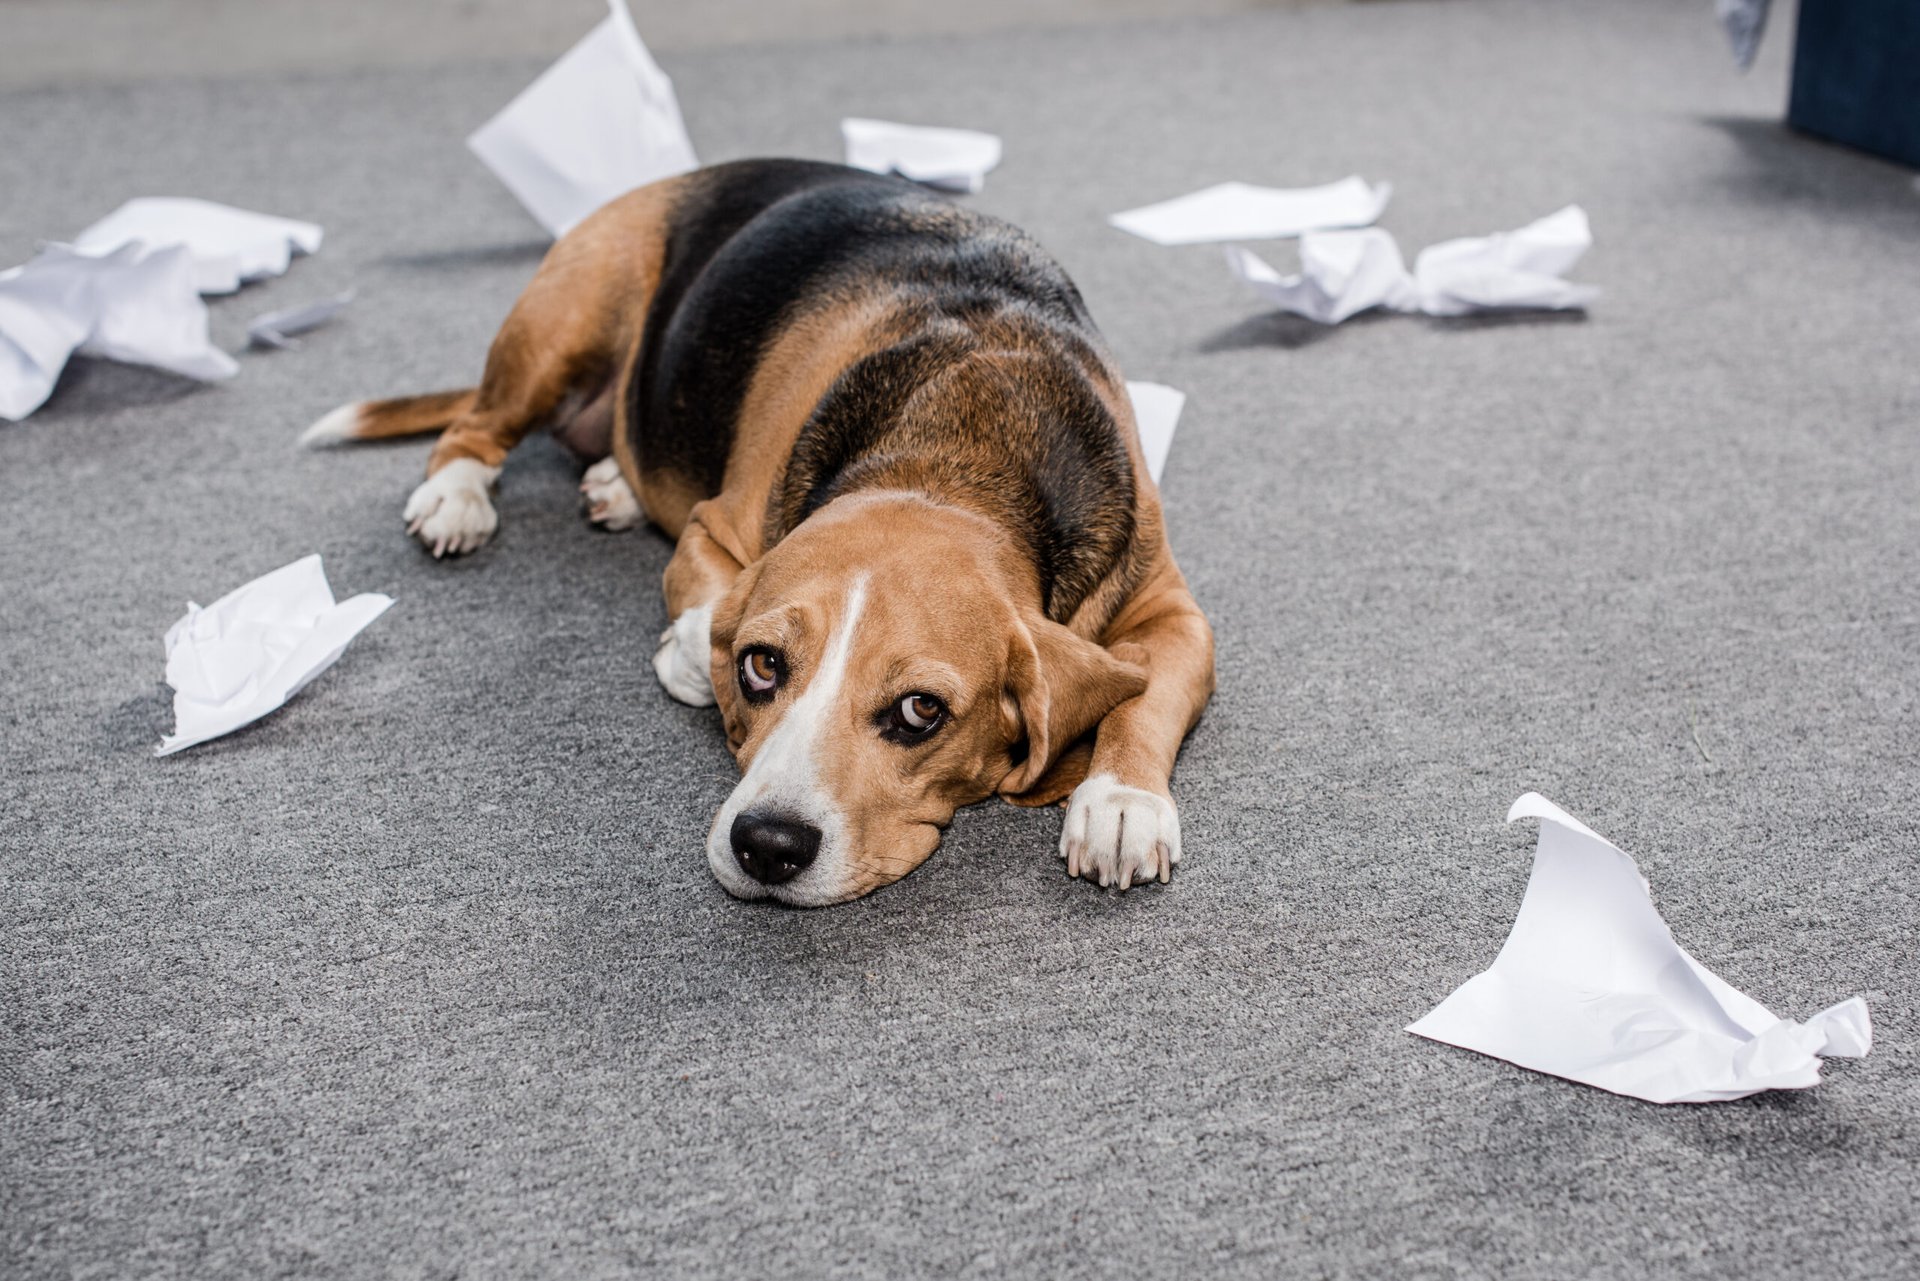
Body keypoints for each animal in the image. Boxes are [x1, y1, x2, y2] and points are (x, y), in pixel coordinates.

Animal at [307, 157, 1221, 902]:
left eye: (920, 710)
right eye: (761, 666)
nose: (767, 845)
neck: (953, 457)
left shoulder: (1177, 613)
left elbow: (1148, 697)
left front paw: (1120, 801)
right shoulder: (716, 526)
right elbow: (704, 604)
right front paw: (686, 651)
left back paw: (613, 483)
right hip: (566, 316)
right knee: (474, 427)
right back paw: (457, 498)